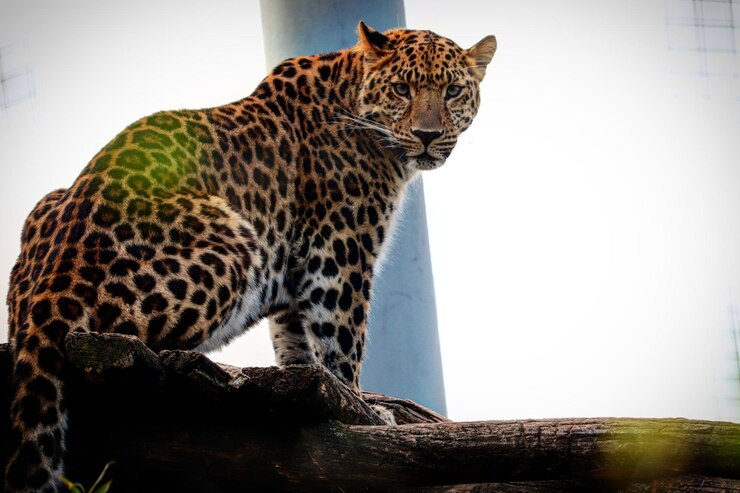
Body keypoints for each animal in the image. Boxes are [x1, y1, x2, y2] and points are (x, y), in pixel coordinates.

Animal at [4, 21, 497, 492]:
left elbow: (298, 343)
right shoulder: (338, 253)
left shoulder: (298, 268)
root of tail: (49, 287)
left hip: (49, 201)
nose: (428, 136)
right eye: (401, 89)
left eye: (453, 91)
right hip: (235, 242)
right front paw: (365, 411)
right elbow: (342, 342)